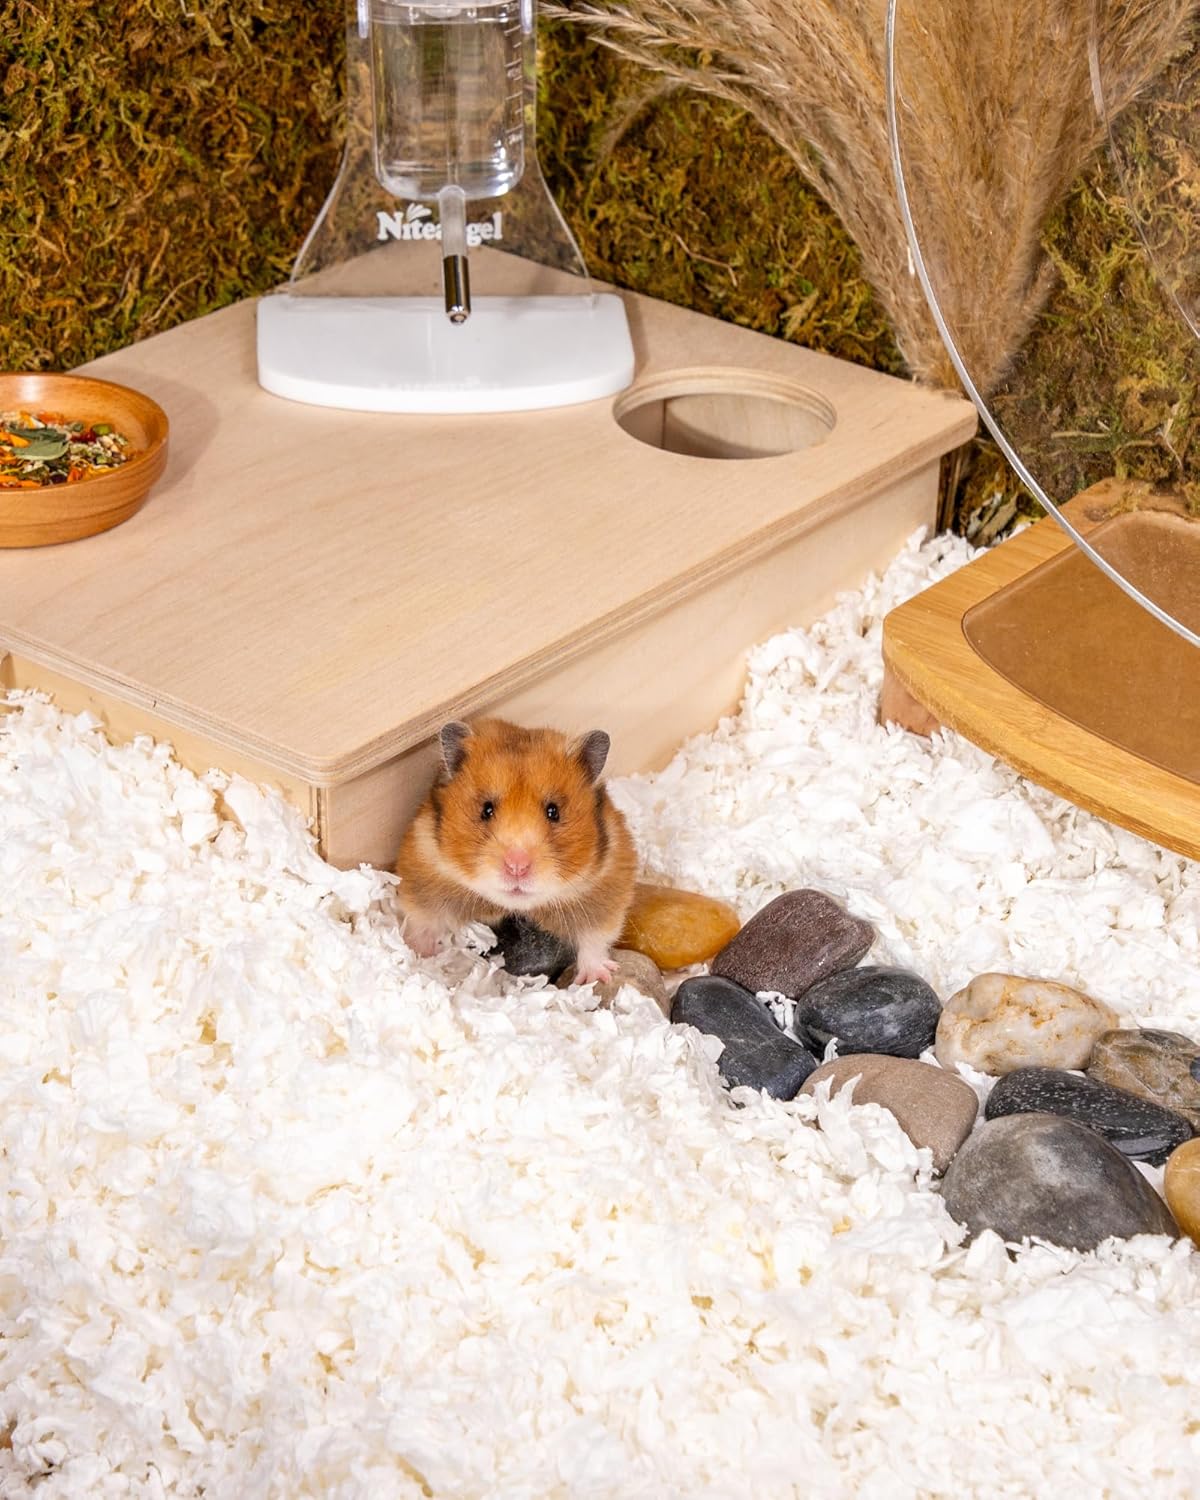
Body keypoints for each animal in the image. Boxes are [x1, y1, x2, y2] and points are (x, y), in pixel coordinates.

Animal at [395, 717, 638, 985]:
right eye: (486, 810)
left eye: (553, 812)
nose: (517, 867)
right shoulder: (421, 871)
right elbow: (422, 921)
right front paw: (418, 954)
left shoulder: (608, 889)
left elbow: (595, 939)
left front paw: (599, 978)